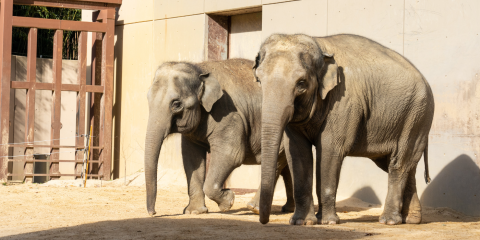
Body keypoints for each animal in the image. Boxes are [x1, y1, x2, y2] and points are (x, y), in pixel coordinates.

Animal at [142, 58, 294, 218]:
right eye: (148, 98)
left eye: (176, 104)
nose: (153, 213)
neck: (200, 69)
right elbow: (192, 159)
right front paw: (194, 212)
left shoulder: (228, 114)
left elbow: (231, 155)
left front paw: (228, 202)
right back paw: (288, 209)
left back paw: (254, 208)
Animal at [253, 33, 436, 225]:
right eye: (259, 80)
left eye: (301, 83)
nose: (264, 220)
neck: (319, 45)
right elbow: (297, 152)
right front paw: (301, 222)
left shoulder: (342, 101)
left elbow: (329, 150)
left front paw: (328, 222)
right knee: (403, 165)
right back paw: (412, 219)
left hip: (417, 116)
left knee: (398, 164)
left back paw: (389, 221)